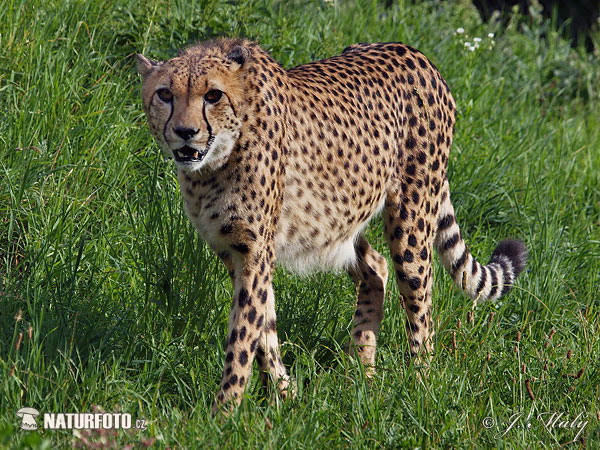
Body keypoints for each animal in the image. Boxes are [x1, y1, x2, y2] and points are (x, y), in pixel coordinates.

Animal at [136, 38, 524, 412]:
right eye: (165, 94)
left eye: (213, 95)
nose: (185, 132)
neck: (217, 161)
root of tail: (414, 52)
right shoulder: (235, 251)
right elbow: (264, 327)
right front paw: (283, 394)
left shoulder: (255, 253)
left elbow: (244, 335)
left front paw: (224, 413)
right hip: (342, 220)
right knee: (376, 269)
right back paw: (362, 373)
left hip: (411, 221)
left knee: (421, 304)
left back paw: (421, 385)